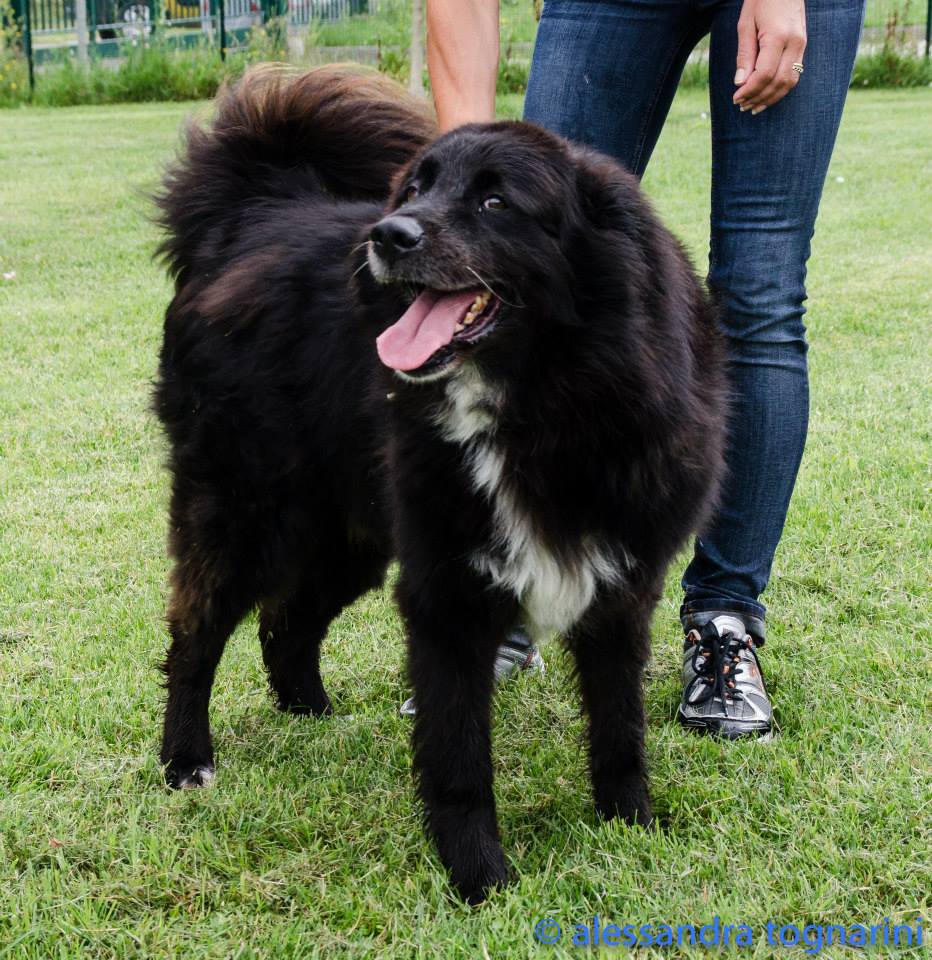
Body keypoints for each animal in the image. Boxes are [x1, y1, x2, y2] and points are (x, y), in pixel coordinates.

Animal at [153, 66, 727, 903]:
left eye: (496, 202)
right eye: (415, 189)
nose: (387, 237)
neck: (546, 400)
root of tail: (252, 215)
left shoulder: (620, 587)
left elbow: (620, 728)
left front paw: (631, 828)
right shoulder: (447, 594)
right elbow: (459, 759)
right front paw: (479, 879)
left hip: (349, 533)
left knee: (286, 623)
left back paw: (312, 715)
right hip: (242, 511)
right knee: (197, 634)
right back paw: (185, 759)